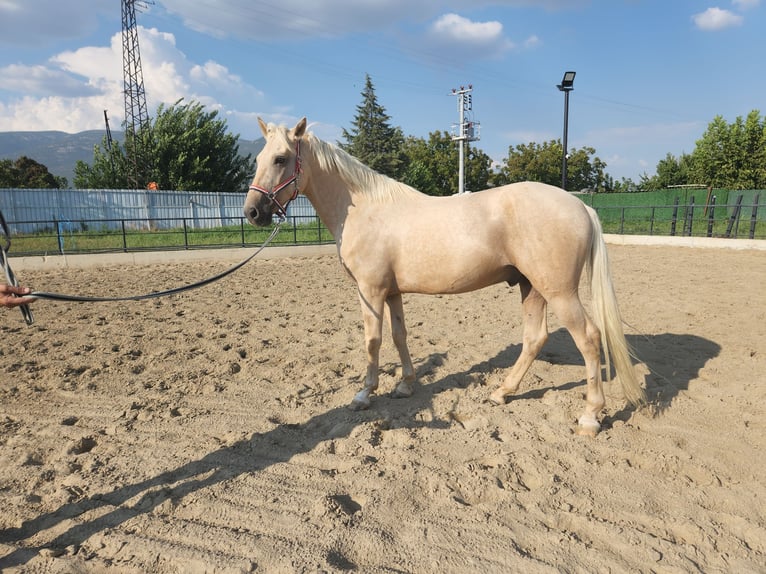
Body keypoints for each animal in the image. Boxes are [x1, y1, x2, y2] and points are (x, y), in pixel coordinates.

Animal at [244, 120, 640, 436]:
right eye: (259, 159)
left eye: (281, 159)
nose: (252, 212)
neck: (364, 208)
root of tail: (580, 205)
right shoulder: (392, 292)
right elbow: (400, 336)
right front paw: (405, 386)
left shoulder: (370, 291)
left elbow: (372, 341)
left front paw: (363, 394)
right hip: (532, 288)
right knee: (535, 338)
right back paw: (501, 393)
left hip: (559, 292)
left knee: (588, 339)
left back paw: (589, 417)